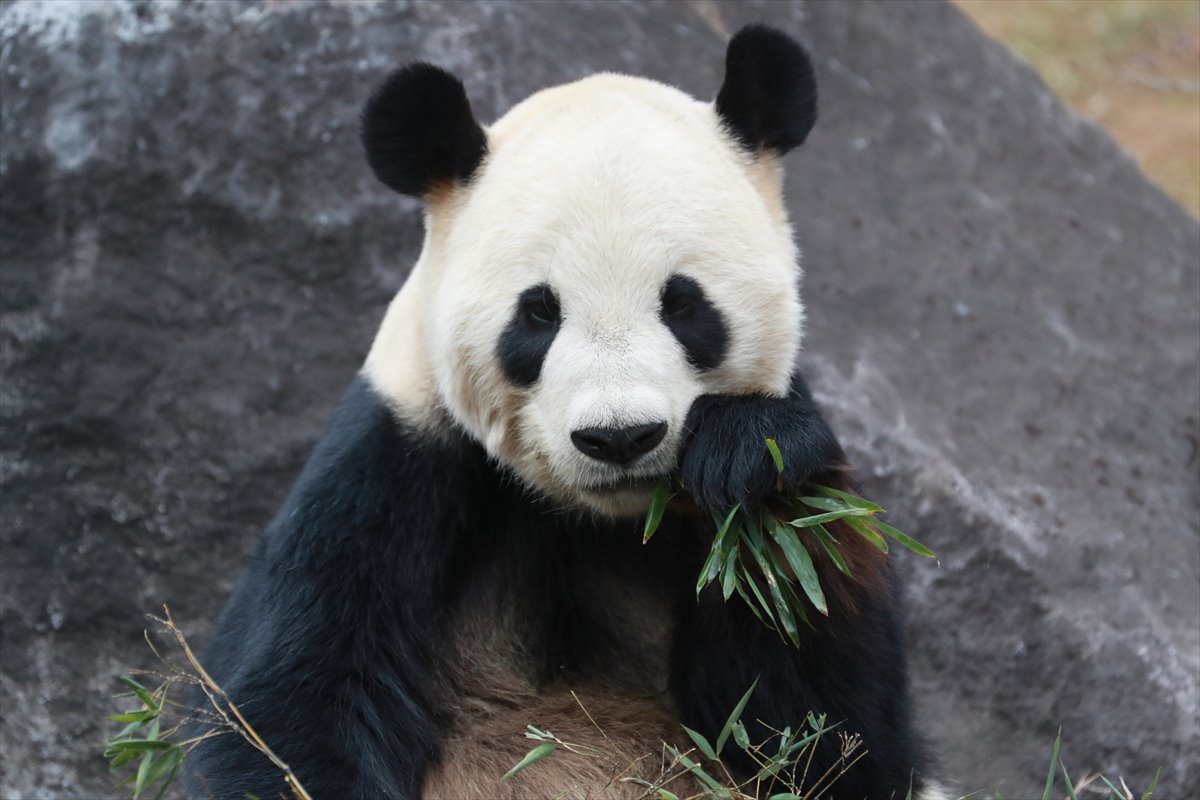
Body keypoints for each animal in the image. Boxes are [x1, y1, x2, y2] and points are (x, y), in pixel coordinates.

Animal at [192, 23, 945, 800]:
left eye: (684, 305)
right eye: (538, 313)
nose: (620, 438)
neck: (603, 519)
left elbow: (818, 727)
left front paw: (749, 455)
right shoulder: (394, 459)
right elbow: (291, 705)